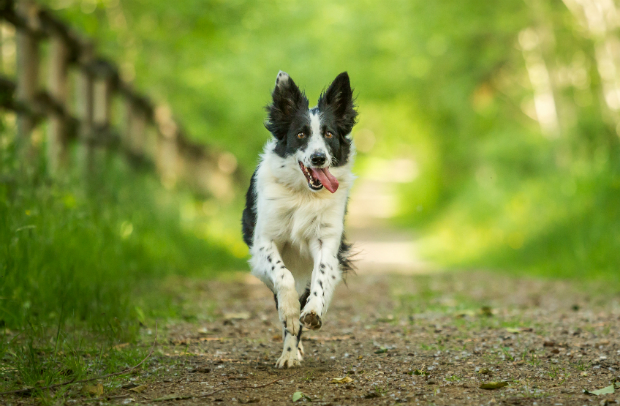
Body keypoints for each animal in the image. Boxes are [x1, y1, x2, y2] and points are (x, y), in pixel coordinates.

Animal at [242, 72, 358, 368]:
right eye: (301, 134)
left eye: (329, 133)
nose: (318, 158)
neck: (304, 195)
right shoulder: (264, 241)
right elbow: (282, 276)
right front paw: (291, 313)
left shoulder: (326, 241)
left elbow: (322, 275)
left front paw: (313, 310)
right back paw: (290, 349)